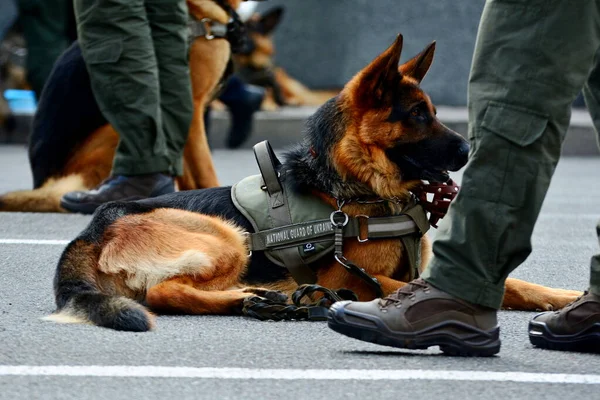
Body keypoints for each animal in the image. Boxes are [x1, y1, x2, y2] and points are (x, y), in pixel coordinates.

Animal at [47, 36, 580, 332]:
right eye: (418, 116)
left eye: (432, 112)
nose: (468, 150)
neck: (352, 188)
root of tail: (92, 230)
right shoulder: (350, 279)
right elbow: (400, 286)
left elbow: (518, 284)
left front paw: (567, 299)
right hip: (225, 237)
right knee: (164, 293)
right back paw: (253, 299)